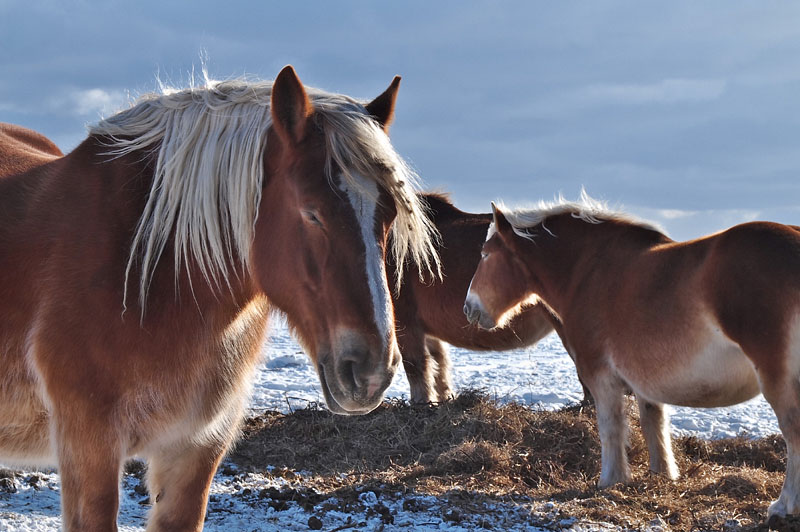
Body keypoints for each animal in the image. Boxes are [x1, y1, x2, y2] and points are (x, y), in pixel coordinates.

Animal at [0, 67, 440, 532]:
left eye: (388, 216)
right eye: (311, 212)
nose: (371, 370)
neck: (148, 277)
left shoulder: (197, 447)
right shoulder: (90, 448)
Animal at [394, 193, 580, 406]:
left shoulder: (406, 322)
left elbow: (416, 365)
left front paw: (421, 402)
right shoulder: (426, 329)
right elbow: (439, 364)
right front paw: (444, 398)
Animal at [462, 192, 800, 520]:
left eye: (485, 254)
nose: (469, 308)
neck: (588, 270)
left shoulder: (600, 376)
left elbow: (610, 427)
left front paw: (611, 479)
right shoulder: (645, 382)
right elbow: (655, 425)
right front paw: (663, 474)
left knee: (792, 431)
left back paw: (784, 505)